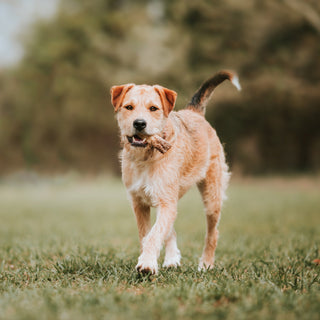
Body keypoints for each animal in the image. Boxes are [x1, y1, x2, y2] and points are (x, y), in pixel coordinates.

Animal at [110, 70, 240, 276]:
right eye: (128, 107)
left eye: (153, 108)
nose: (139, 124)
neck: (146, 157)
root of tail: (194, 112)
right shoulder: (139, 202)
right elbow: (147, 234)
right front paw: (151, 259)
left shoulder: (166, 201)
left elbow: (154, 235)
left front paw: (147, 264)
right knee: (171, 229)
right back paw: (172, 259)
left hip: (211, 197)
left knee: (212, 233)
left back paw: (206, 264)